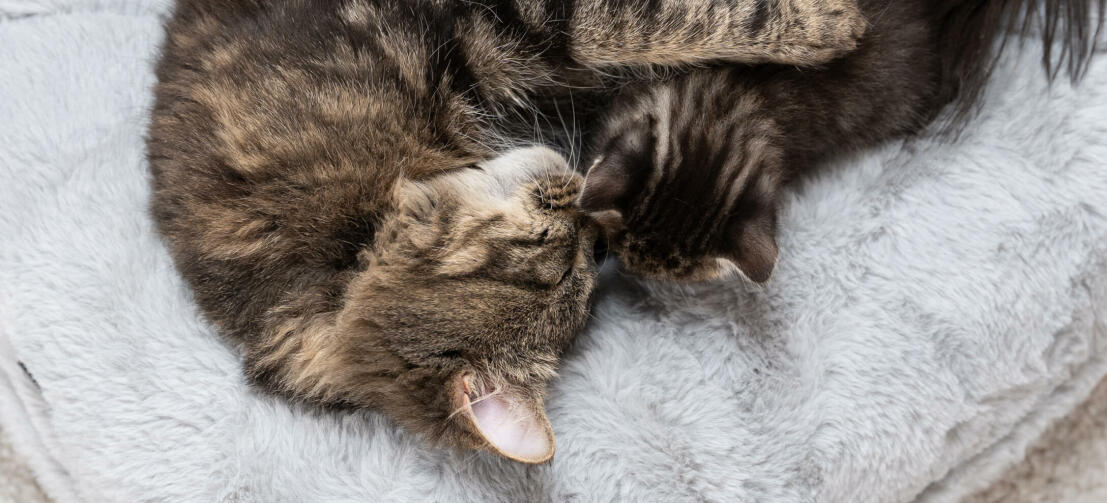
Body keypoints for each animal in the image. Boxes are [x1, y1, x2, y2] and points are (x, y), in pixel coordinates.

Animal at [145, 0, 863, 463]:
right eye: (564, 265)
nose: (597, 235)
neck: (350, 243)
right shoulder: (513, 20)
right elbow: (649, 20)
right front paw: (830, 23)